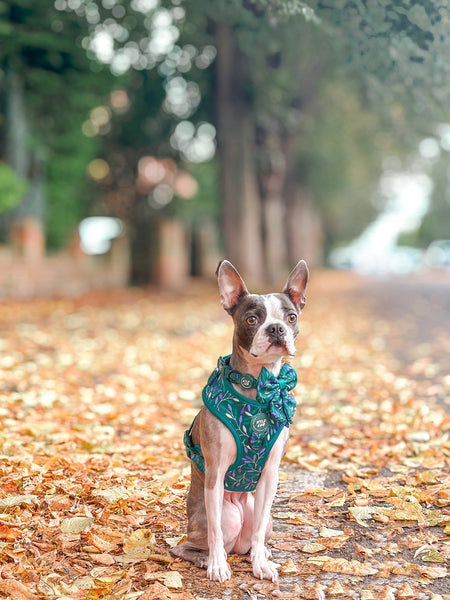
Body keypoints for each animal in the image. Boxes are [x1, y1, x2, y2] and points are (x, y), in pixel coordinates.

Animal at [171, 262, 308, 580]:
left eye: (291, 317)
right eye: (251, 319)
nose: (275, 328)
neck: (258, 384)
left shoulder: (270, 475)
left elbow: (257, 531)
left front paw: (261, 565)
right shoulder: (216, 471)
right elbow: (215, 533)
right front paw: (217, 567)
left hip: (265, 516)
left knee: (254, 533)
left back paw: (260, 554)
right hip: (223, 515)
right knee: (190, 545)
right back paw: (209, 559)